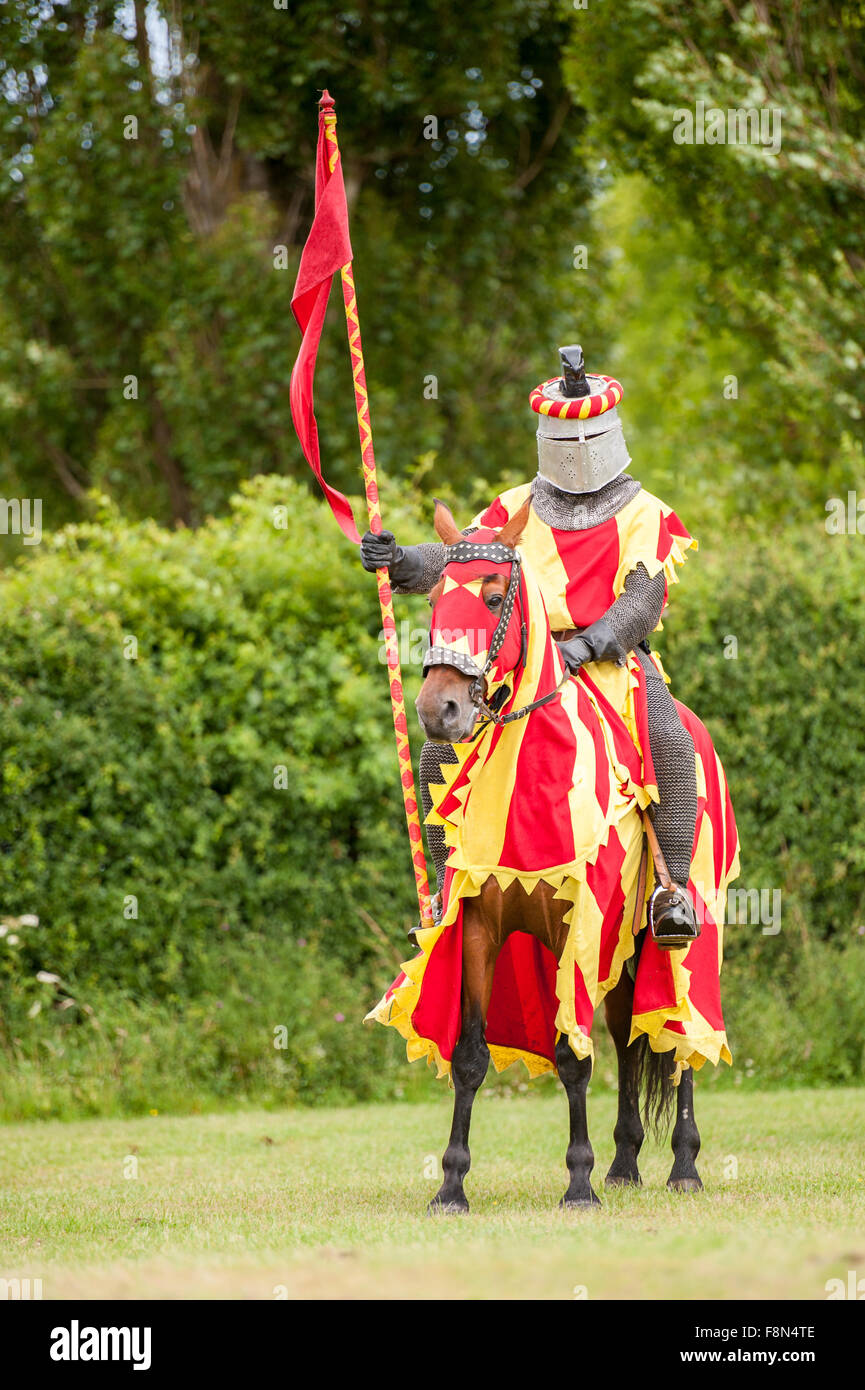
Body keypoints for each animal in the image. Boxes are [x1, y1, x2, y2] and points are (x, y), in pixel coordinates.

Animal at [369, 497, 739, 1206]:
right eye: (434, 600)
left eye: (492, 598)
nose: (437, 710)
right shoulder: (480, 928)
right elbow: (471, 1055)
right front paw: (451, 1184)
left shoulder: (582, 924)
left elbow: (573, 1055)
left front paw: (579, 1182)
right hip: (624, 946)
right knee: (627, 1030)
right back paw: (625, 1161)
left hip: (681, 926)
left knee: (679, 1033)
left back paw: (682, 1163)